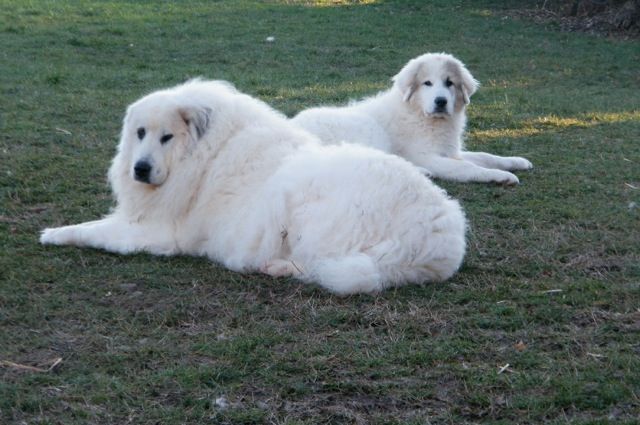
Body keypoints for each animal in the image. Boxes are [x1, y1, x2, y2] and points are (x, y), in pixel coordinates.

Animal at [42, 78, 468, 294]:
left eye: (166, 137)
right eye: (140, 133)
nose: (140, 169)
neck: (206, 154)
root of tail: (442, 236)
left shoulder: (160, 232)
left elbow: (96, 231)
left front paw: (54, 233)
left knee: (322, 267)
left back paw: (276, 267)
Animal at [292, 52, 532, 184]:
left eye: (449, 83)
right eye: (427, 83)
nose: (441, 101)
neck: (419, 114)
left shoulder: (450, 152)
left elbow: (486, 156)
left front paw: (516, 162)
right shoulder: (426, 156)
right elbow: (468, 168)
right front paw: (500, 176)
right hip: (368, 128)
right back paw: (422, 172)